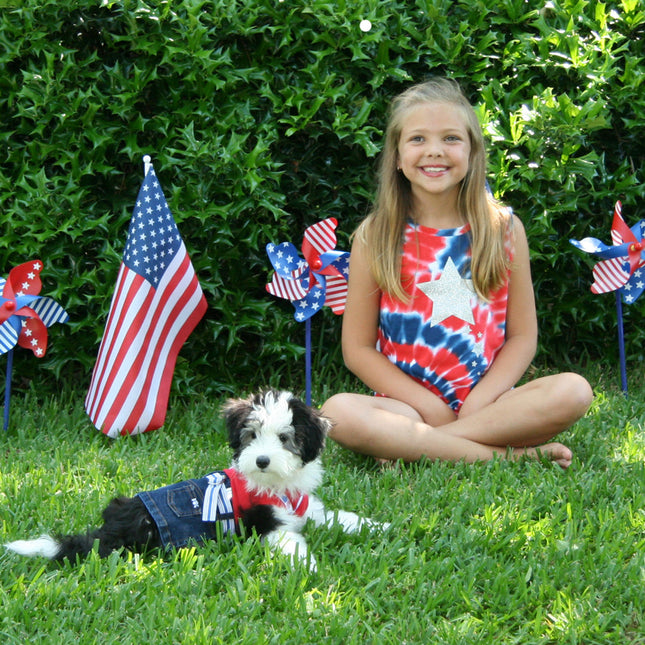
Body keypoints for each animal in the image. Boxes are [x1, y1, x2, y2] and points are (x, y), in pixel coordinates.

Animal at [5, 388, 384, 568]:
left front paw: (377, 526)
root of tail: (110, 527)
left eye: (284, 439)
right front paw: (309, 568)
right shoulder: (264, 524)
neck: (277, 485)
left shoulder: (305, 508)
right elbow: (289, 542)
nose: (261, 460)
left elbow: (335, 517)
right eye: (252, 436)